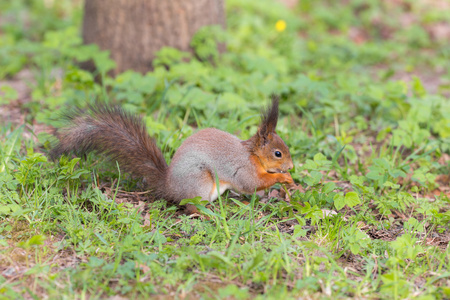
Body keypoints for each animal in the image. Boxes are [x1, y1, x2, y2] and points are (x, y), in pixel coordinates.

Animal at [49, 98, 296, 211]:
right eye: (278, 153)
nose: (292, 167)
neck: (253, 154)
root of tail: (168, 186)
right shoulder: (243, 167)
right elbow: (252, 183)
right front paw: (283, 178)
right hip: (199, 182)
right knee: (189, 207)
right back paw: (206, 213)